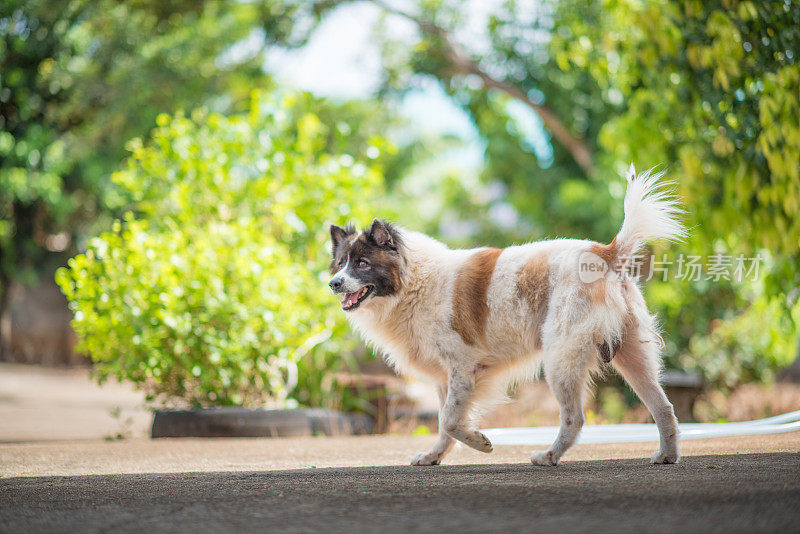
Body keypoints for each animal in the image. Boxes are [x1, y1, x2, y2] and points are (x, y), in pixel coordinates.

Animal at [328, 165, 684, 466]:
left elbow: (451, 421)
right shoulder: (446, 378)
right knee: (663, 407)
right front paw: (434, 456)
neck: (414, 282)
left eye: (362, 264)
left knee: (575, 417)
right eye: (341, 263)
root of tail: (605, 252)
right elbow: (444, 424)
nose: (333, 283)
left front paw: (480, 442)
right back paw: (666, 455)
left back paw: (549, 456)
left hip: (561, 358)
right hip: (632, 354)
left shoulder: (463, 367)